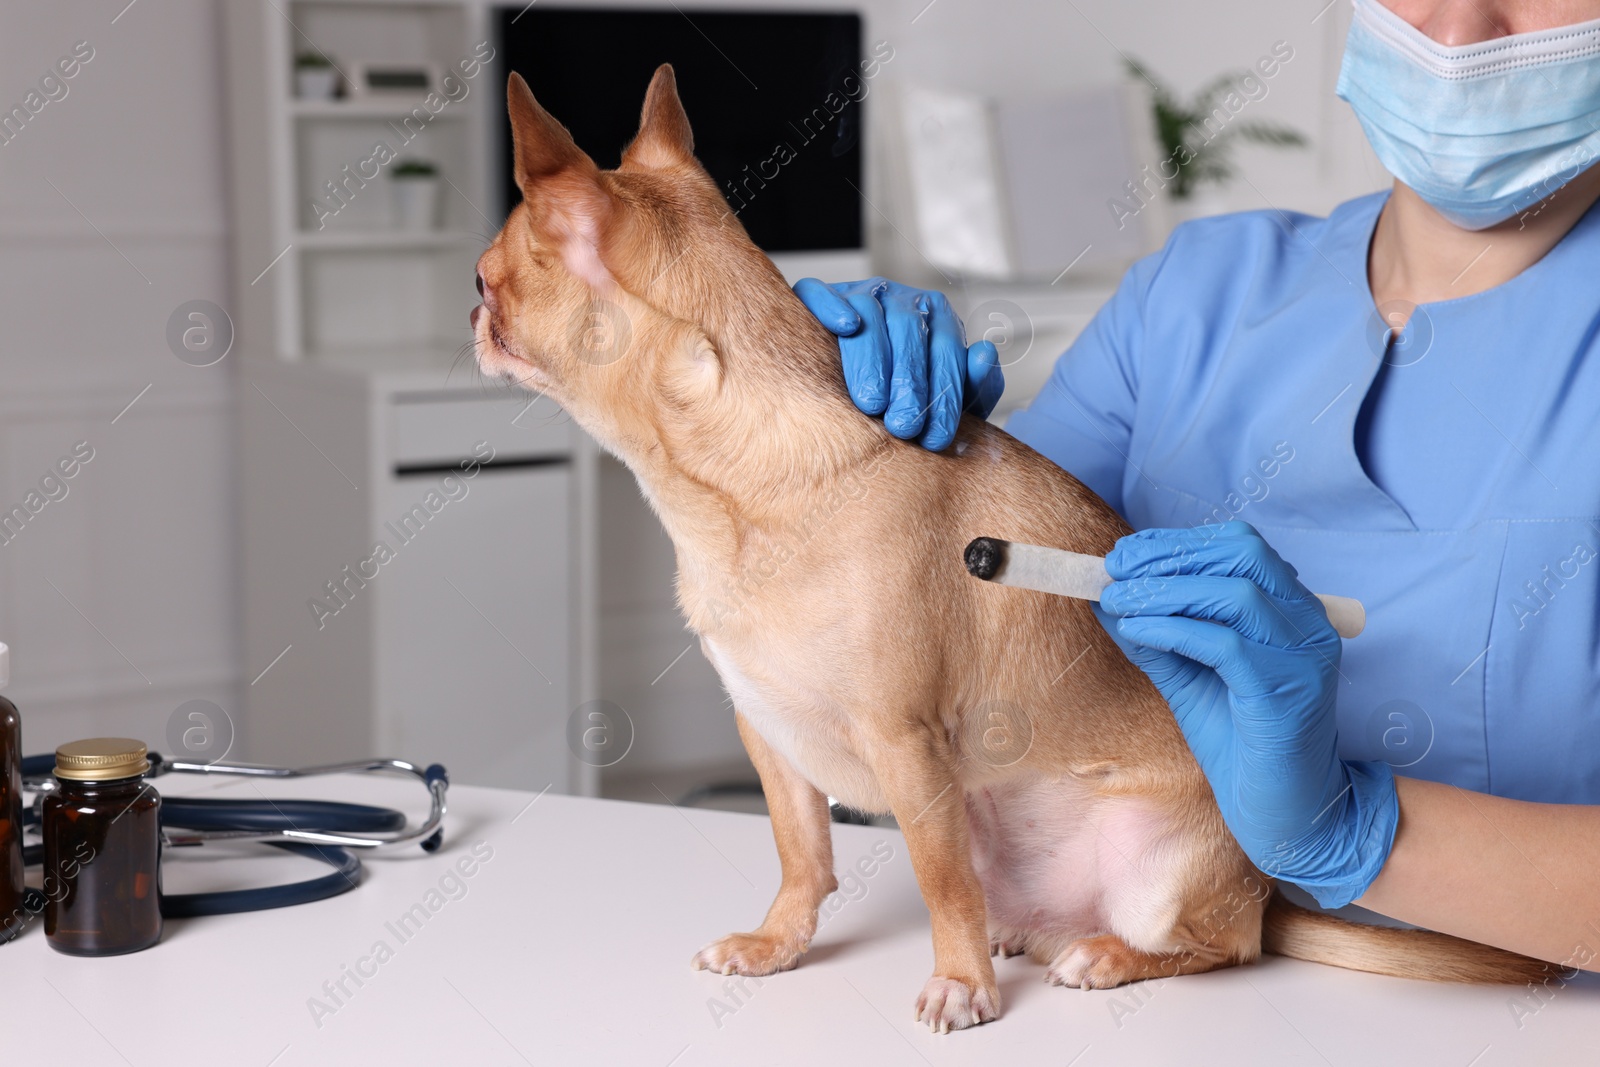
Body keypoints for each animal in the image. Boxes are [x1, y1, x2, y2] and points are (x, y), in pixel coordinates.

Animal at [470, 68, 1548, 1036]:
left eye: (484, 277)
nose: (470, 310)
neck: (739, 480)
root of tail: (1265, 891)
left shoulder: (910, 748)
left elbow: (939, 881)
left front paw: (957, 987)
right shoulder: (771, 738)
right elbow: (801, 856)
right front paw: (778, 943)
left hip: (1161, 874)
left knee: (1217, 944)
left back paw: (1102, 954)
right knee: (1026, 905)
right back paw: (1023, 932)